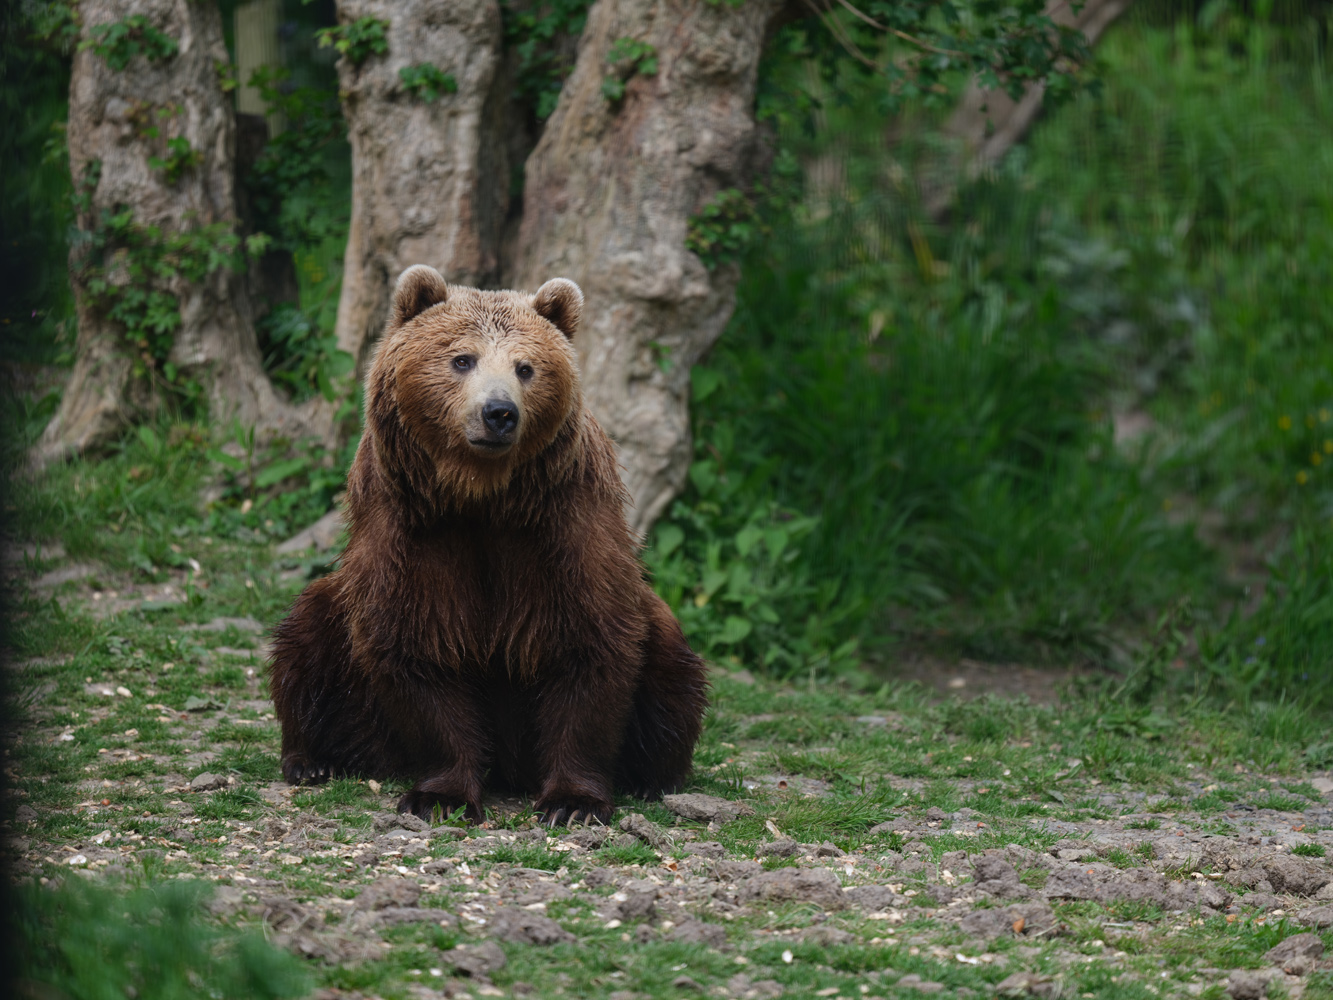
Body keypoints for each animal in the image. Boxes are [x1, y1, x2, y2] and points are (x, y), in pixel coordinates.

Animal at [265, 264, 714, 821]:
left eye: (526, 367)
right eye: (462, 358)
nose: (499, 412)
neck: (481, 497)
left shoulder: (565, 525)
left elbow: (593, 645)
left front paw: (572, 801)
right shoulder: (412, 531)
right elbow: (417, 646)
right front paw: (440, 796)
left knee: (673, 665)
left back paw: (656, 776)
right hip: (345, 652)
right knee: (307, 634)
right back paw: (310, 759)